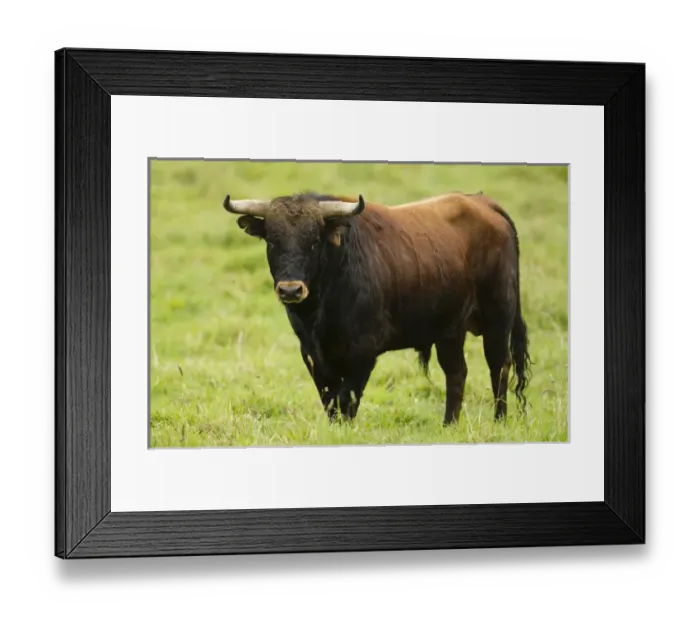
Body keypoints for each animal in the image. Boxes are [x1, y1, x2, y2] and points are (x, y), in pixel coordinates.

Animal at [222, 190, 532, 425]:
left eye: (313, 242)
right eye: (272, 241)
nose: (290, 290)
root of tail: (482, 202)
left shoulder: (363, 352)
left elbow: (347, 400)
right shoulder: (313, 355)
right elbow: (330, 401)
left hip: (498, 319)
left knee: (499, 367)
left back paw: (499, 421)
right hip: (450, 331)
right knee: (456, 373)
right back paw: (449, 425)